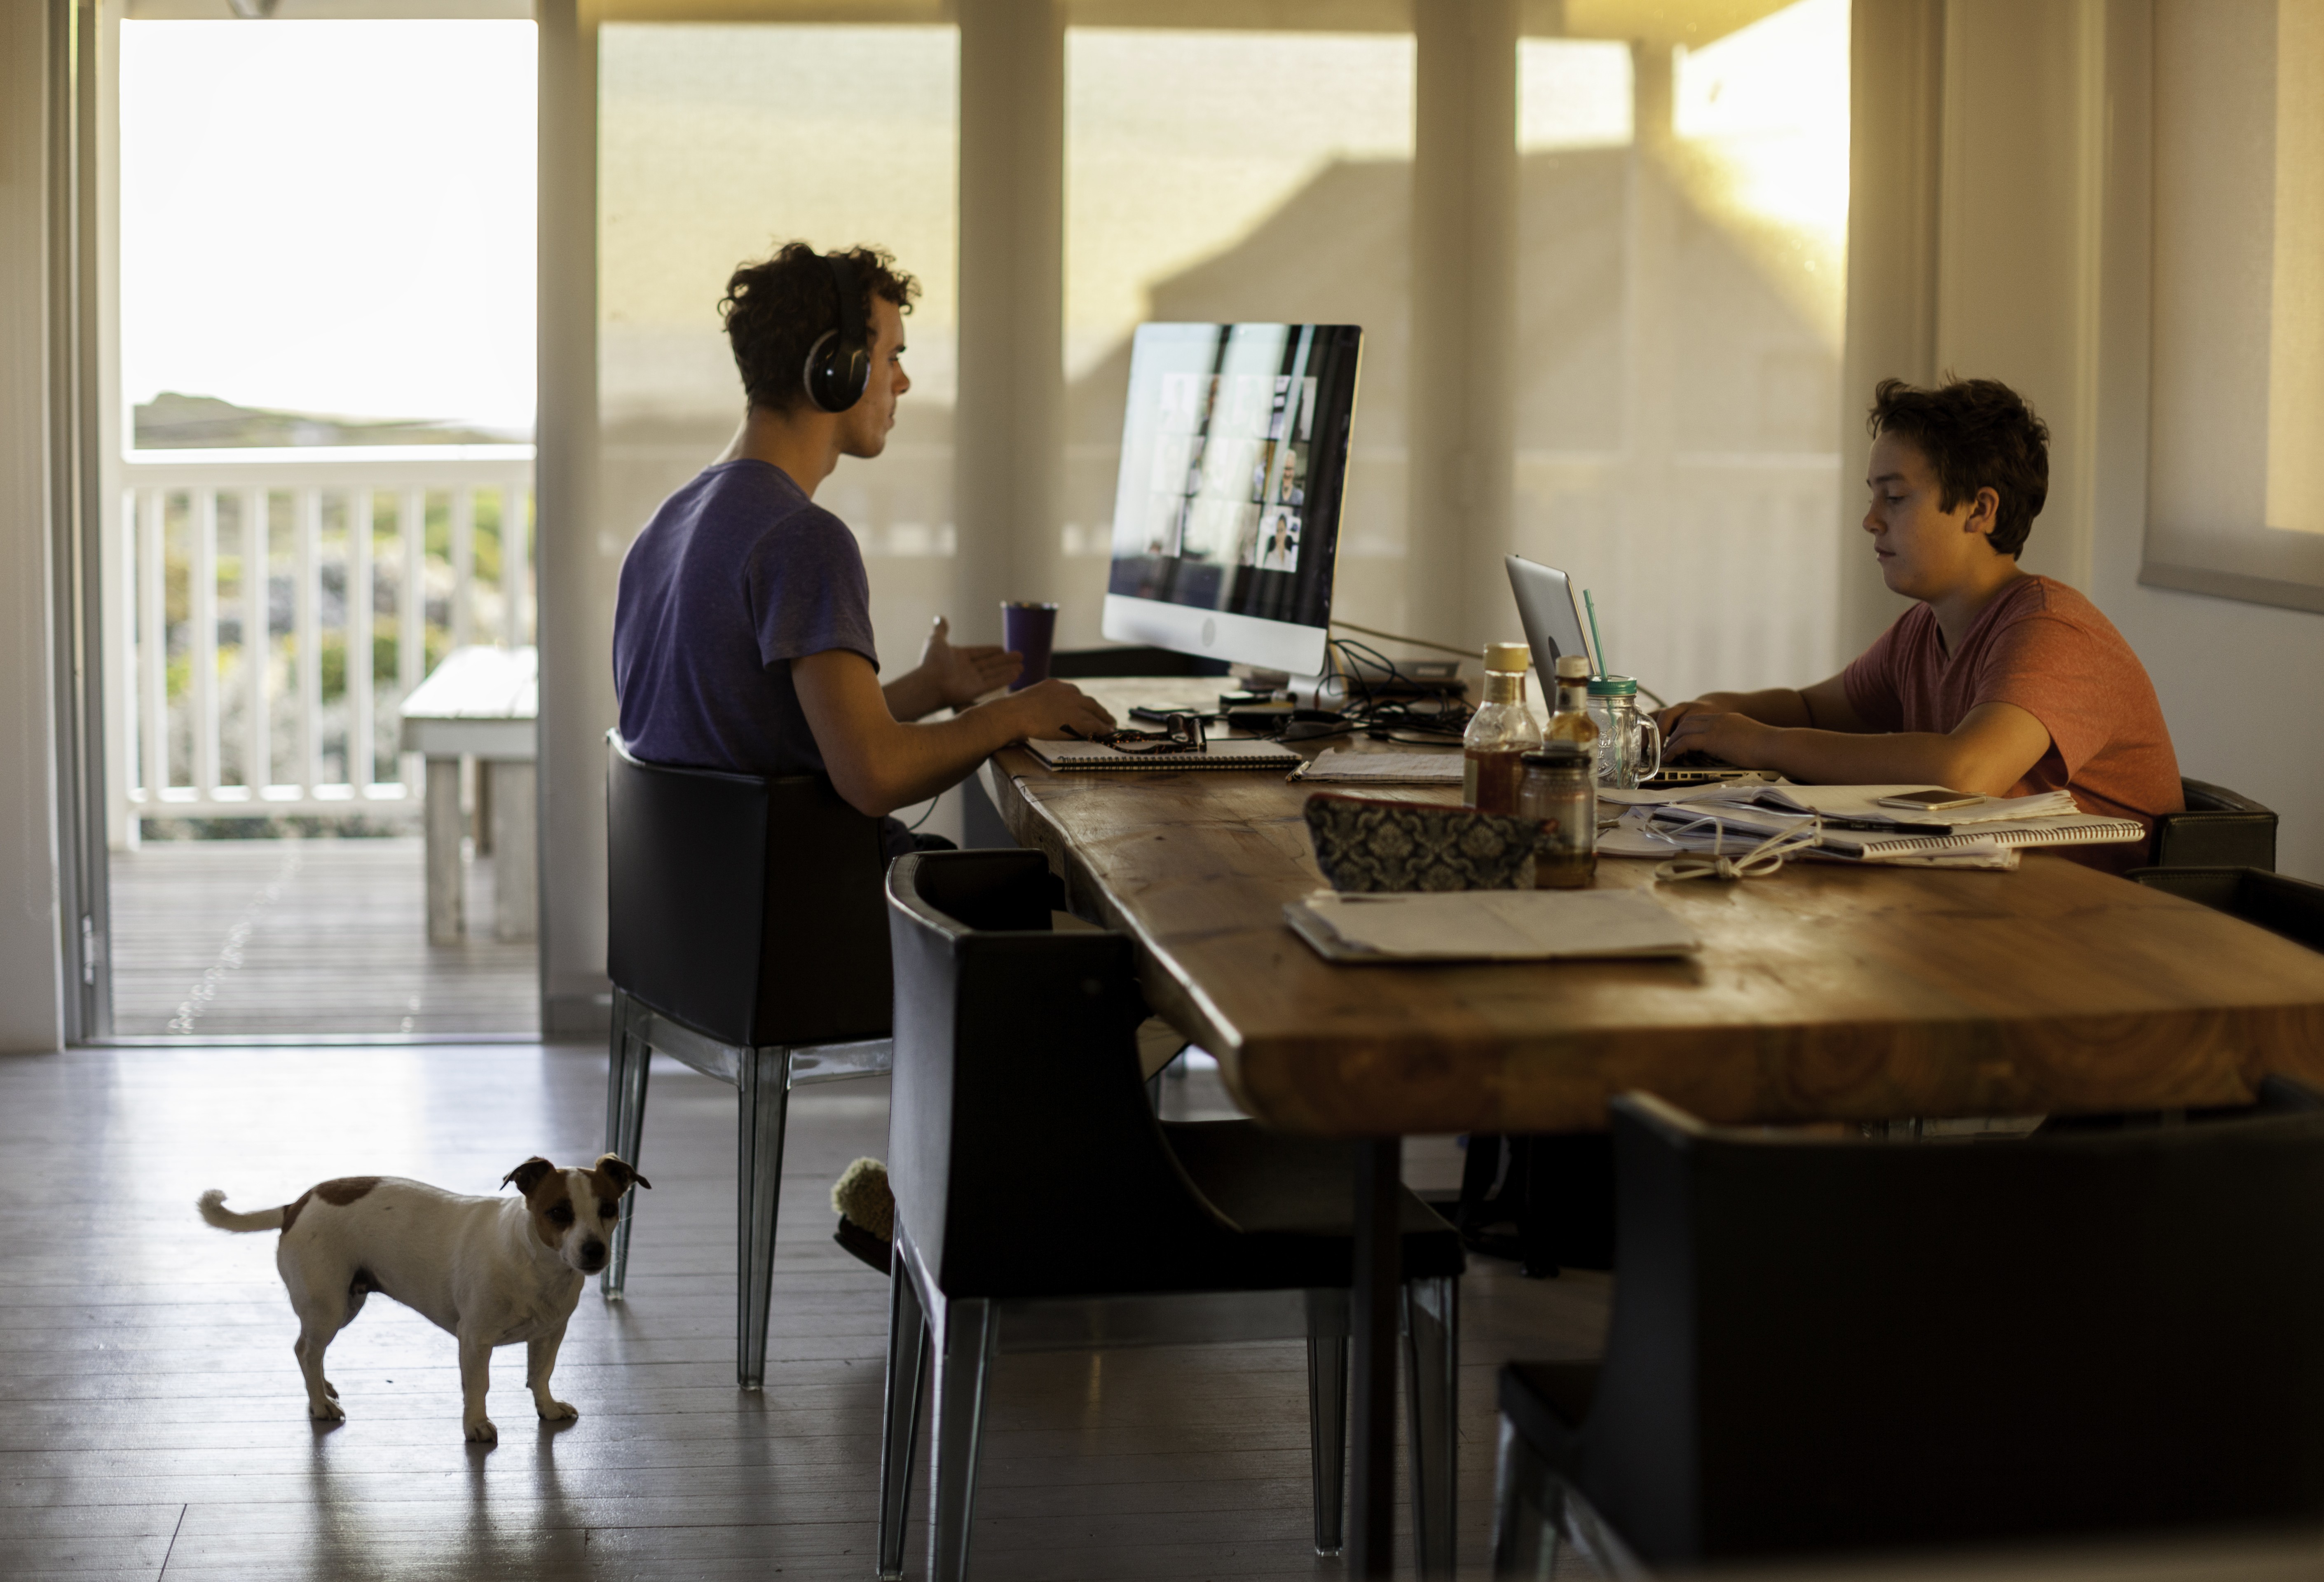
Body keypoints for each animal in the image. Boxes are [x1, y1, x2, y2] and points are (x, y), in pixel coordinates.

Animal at [200, 1152, 651, 1440]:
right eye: (559, 1213)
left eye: (609, 1209)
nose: (595, 1251)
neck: (535, 1263)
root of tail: (296, 1205)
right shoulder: (475, 1341)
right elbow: (478, 1386)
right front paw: (476, 1426)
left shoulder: (550, 1334)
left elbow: (540, 1374)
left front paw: (548, 1408)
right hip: (327, 1305)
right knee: (307, 1351)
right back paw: (319, 1405)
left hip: (346, 1303)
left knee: (308, 1349)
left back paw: (322, 1388)